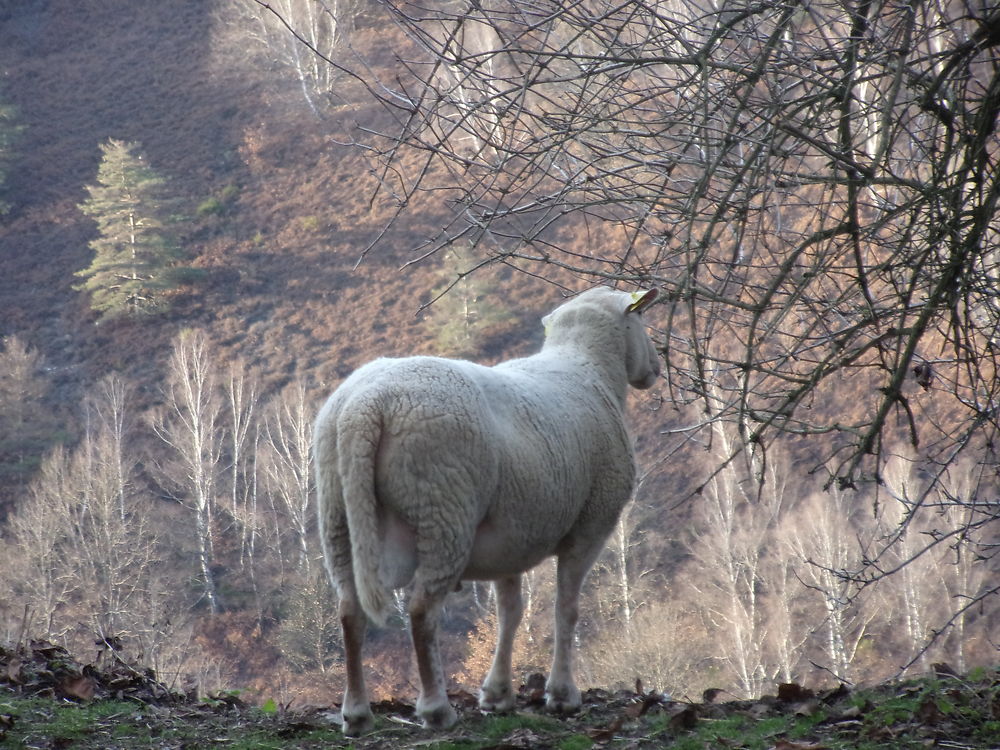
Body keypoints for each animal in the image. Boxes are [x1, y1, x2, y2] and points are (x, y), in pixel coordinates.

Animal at [312, 286, 656, 736]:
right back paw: (436, 709)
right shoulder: (592, 524)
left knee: (350, 611)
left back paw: (356, 714)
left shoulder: (511, 537)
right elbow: (566, 609)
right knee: (422, 612)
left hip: (338, 513)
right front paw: (562, 695)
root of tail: (364, 408)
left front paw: (498, 695)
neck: (589, 367)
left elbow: (509, 613)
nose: (654, 369)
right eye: (642, 320)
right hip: (443, 508)